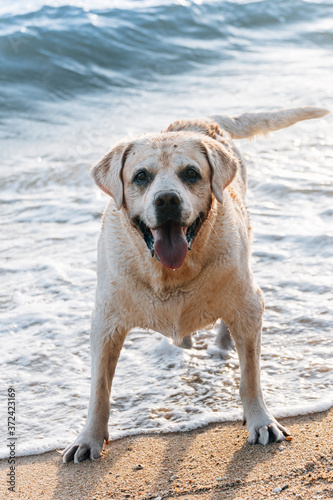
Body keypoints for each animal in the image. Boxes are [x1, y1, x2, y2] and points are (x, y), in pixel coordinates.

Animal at [61, 106, 326, 464]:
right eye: (141, 176)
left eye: (190, 173)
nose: (167, 200)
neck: (171, 274)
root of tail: (201, 120)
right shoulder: (106, 322)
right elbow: (99, 388)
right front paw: (88, 438)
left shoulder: (247, 304)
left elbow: (250, 375)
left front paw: (260, 420)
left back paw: (223, 344)